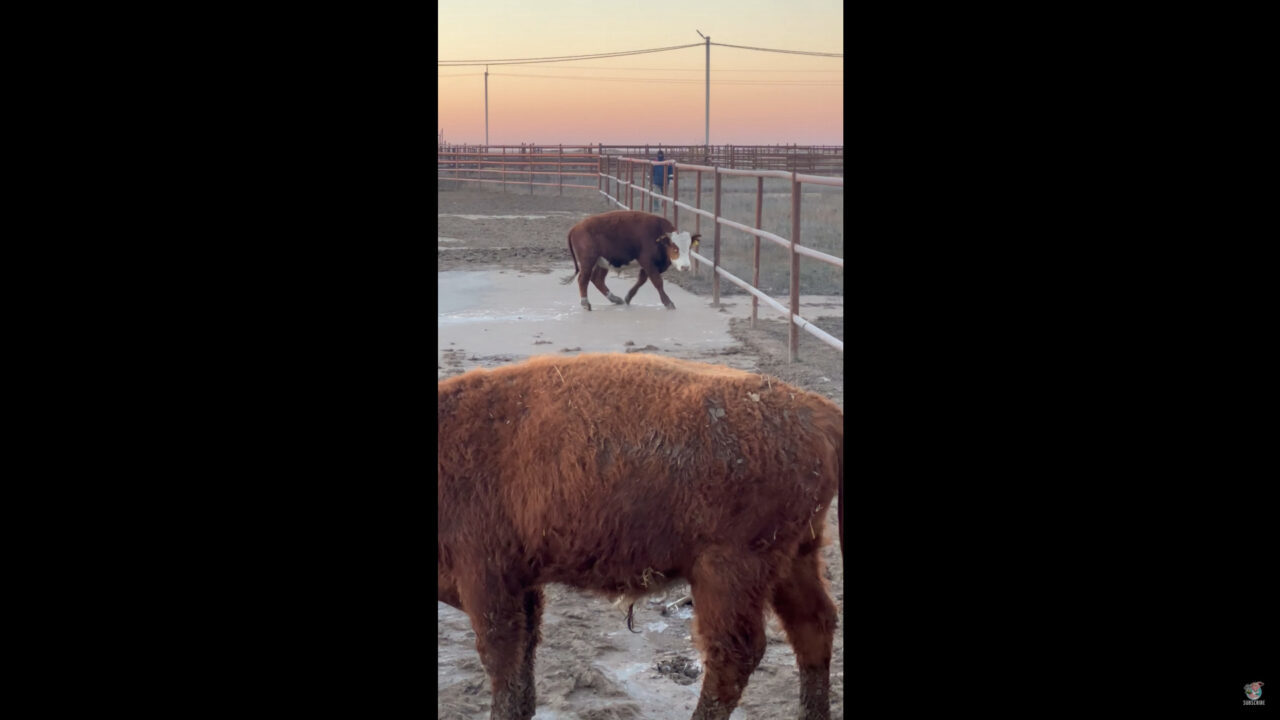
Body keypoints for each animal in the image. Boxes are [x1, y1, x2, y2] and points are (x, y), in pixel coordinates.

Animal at [435, 353, 844, 717]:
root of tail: (819, 409)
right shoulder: (522, 584)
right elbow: (524, 662)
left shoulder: (488, 583)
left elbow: (502, 663)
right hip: (795, 557)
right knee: (813, 625)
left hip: (729, 572)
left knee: (734, 653)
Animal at [558, 207, 701, 308]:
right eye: (675, 249)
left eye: (689, 248)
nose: (685, 267)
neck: (658, 236)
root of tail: (575, 227)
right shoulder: (648, 262)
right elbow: (657, 282)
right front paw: (668, 302)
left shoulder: (649, 265)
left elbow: (642, 280)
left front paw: (628, 297)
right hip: (587, 261)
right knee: (583, 279)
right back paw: (585, 303)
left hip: (603, 261)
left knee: (597, 279)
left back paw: (615, 299)